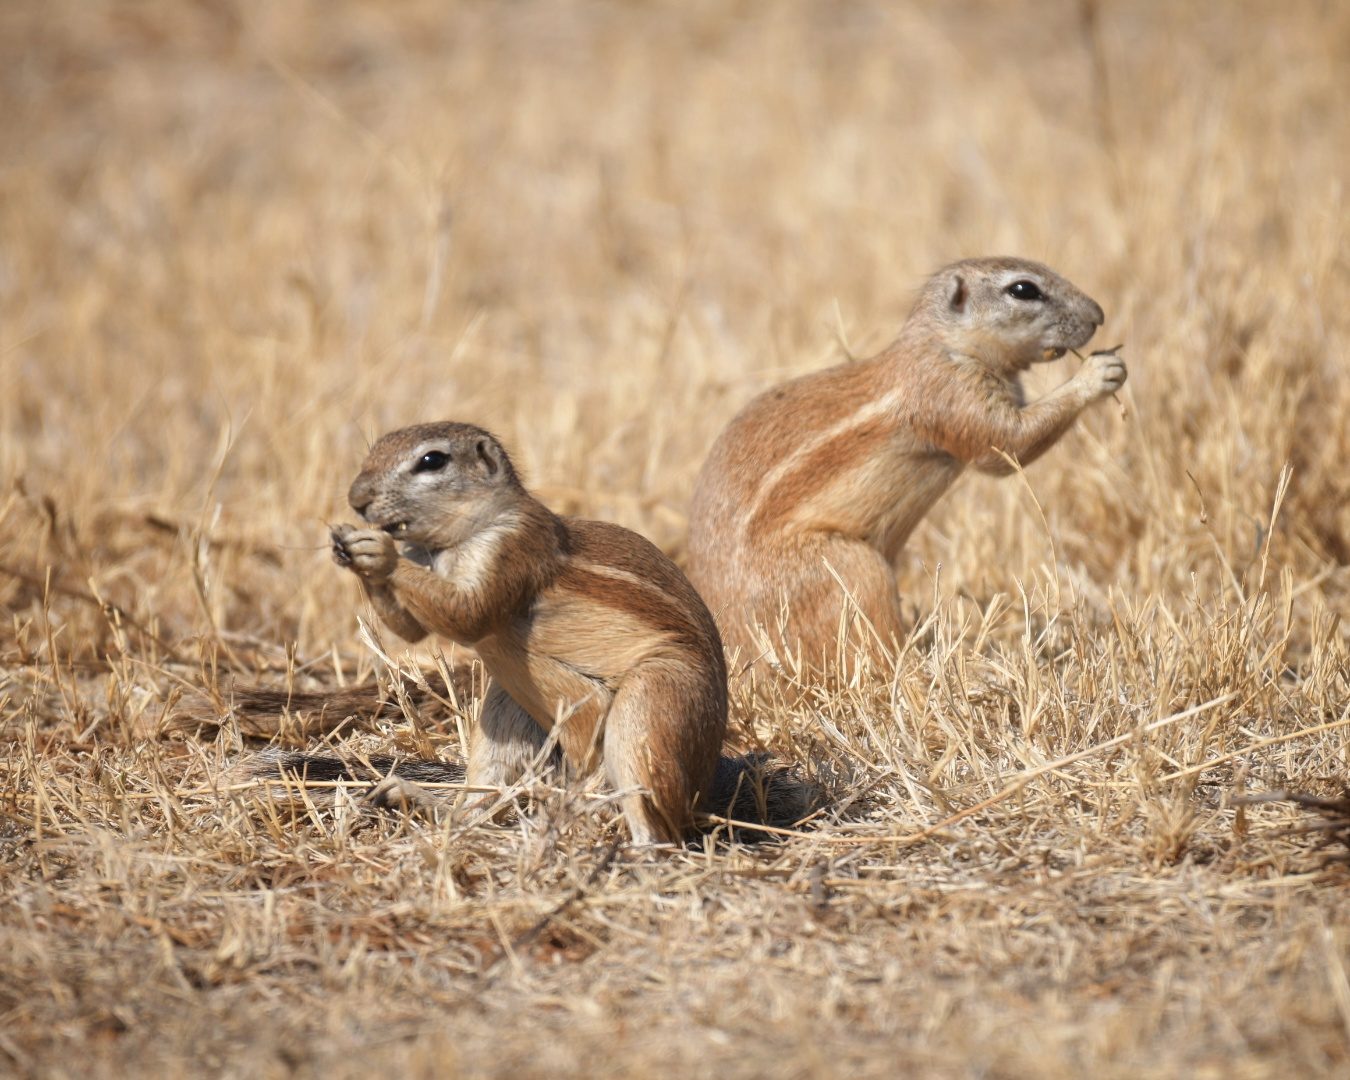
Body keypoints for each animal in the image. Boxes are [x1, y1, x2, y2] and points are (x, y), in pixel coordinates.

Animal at [244, 422, 813, 845]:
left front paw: (375, 551)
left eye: (432, 461)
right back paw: (422, 802)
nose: (356, 498)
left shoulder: (512, 550)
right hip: (505, 712)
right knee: (487, 800)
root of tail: (705, 784)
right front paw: (354, 553)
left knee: (660, 823)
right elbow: (409, 630)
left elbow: (468, 613)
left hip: (651, 708)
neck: (455, 540)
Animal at [686, 256, 1126, 674]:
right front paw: (1097, 373)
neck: (939, 344)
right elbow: (1007, 446)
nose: (1100, 314)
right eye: (1024, 289)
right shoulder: (950, 392)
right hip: (855, 570)